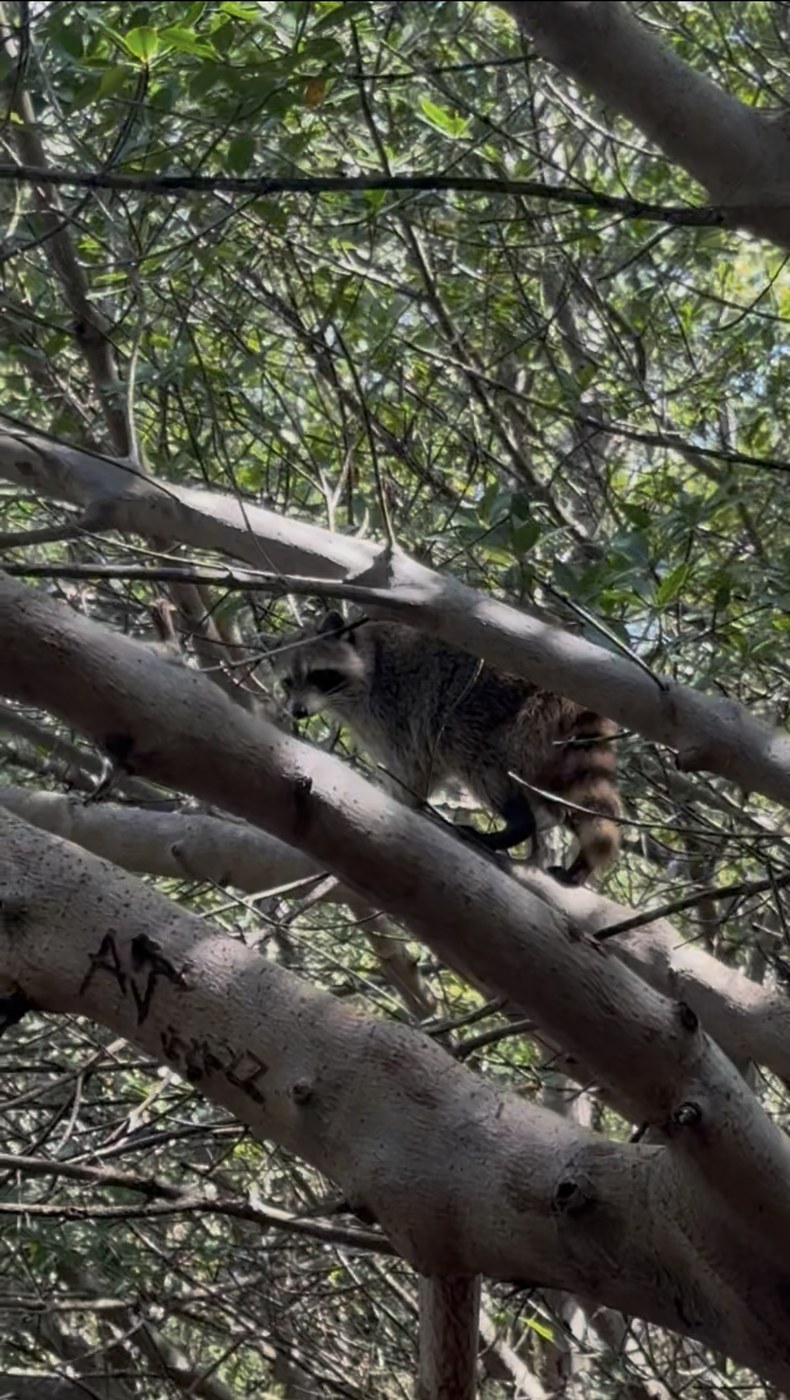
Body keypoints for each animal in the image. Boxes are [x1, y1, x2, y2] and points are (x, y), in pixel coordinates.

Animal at [273, 611, 621, 885]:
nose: (297, 711)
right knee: (571, 798)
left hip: (494, 712)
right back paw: (580, 859)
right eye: (288, 682)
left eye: (318, 676)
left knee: (478, 761)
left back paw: (517, 823)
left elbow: (411, 770)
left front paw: (400, 802)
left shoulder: (395, 708)